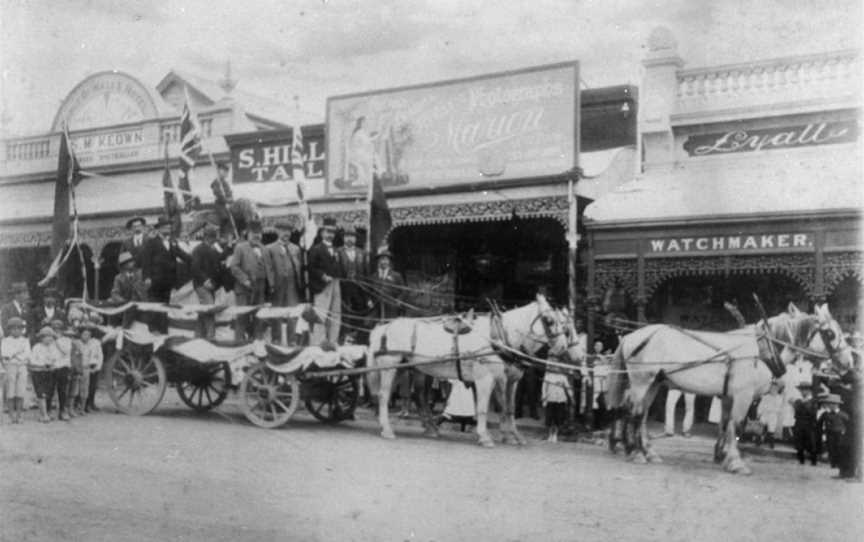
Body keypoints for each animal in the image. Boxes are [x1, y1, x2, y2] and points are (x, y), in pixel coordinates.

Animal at [368, 296, 572, 448]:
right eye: (549, 320)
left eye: (564, 324)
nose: (563, 347)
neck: (499, 336)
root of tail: (384, 327)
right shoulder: (486, 379)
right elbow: (482, 407)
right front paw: (486, 436)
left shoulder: (507, 379)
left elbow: (508, 407)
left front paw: (512, 436)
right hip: (389, 366)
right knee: (384, 396)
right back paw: (388, 429)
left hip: (403, 368)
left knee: (410, 395)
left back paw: (425, 428)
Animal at [604, 306, 852, 476]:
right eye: (830, 333)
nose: (848, 363)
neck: (761, 350)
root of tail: (631, 336)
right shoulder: (743, 396)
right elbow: (736, 424)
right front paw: (735, 462)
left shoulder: (727, 396)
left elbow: (725, 424)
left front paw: (721, 455)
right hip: (642, 381)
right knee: (635, 413)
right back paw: (636, 453)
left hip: (654, 383)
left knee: (641, 415)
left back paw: (647, 452)